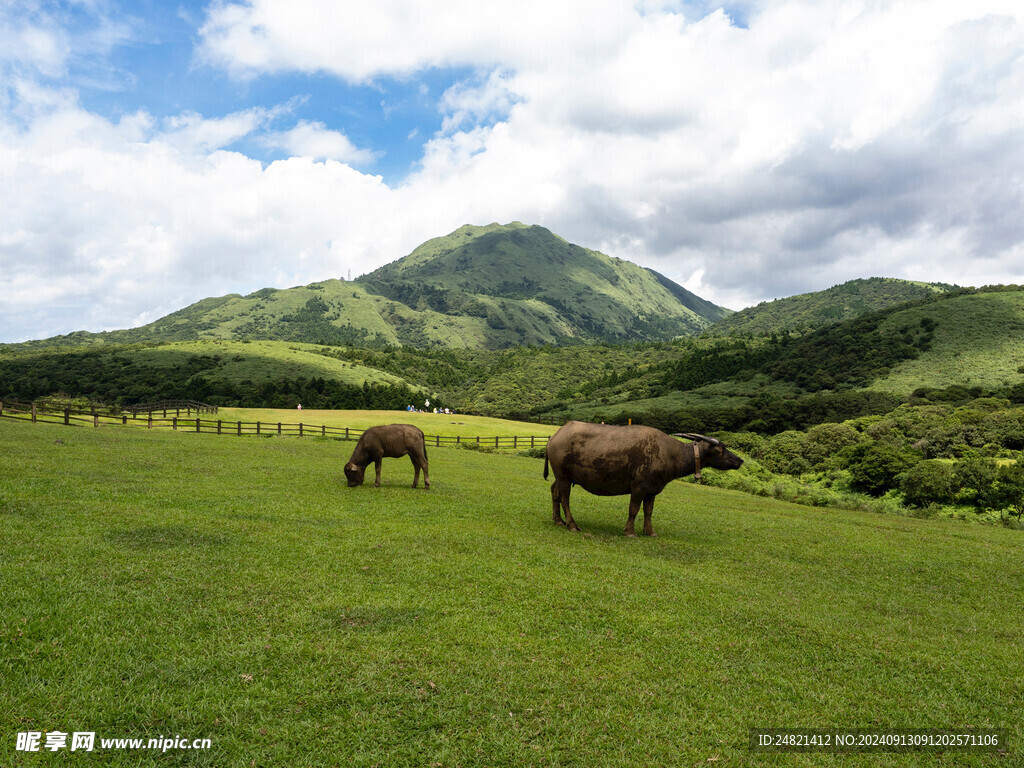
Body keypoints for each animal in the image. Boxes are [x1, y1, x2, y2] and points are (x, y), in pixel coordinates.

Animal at [544, 421, 745, 536]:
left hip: (563, 476)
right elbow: (633, 509)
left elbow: (648, 511)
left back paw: (558, 520)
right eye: (721, 449)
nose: (740, 460)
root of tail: (555, 436)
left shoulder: (652, 490)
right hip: (563, 475)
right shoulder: (638, 488)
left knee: (554, 492)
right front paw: (630, 531)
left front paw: (649, 532)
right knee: (564, 498)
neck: (669, 453)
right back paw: (572, 525)